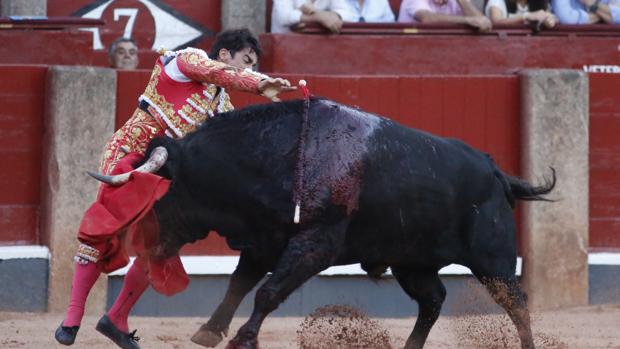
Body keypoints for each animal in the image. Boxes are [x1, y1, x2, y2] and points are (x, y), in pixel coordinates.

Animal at [132, 98, 556, 348]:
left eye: (161, 193)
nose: (140, 243)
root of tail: (492, 168)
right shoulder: (264, 240)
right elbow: (239, 284)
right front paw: (208, 331)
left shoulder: (313, 245)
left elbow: (268, 292)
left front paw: (243, 339)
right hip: (412, 262)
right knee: (433, 300)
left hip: (493, 260)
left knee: (516, 302)